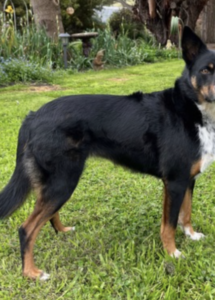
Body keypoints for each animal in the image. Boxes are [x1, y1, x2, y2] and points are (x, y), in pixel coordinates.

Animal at [0, 27, 215, 280]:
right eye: (205, 70)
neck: (193, 110)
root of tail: (33, 115)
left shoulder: (188, 180)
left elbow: (186, 214)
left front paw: (191, 235)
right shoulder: (175, 182)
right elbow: (169, 225)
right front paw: (172, 253)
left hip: (58, 183)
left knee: (47, 214)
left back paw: (62, 230)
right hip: (63, 181)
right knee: (26, 229)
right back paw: (32, 273)